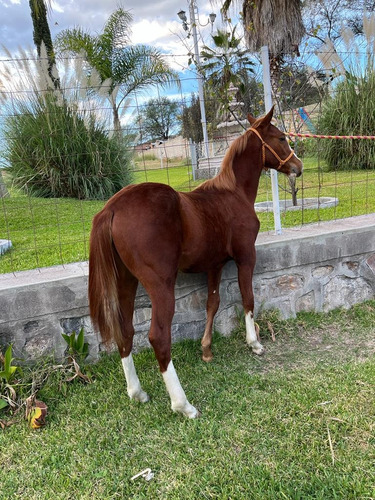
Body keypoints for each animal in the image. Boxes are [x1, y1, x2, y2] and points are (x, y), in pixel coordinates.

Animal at [88, 106, 302, 418]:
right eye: (282, 137)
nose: (298, 166)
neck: (232, 194)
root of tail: (112, 208)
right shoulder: (245, 258)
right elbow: (248, 299)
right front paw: (254, 343)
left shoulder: (214, 265)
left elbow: (212, 303)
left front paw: (207, 350)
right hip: (160, 284)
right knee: (158, 336)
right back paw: (183, 405)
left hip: (126, 281)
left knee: (125, 331)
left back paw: (137, 392)